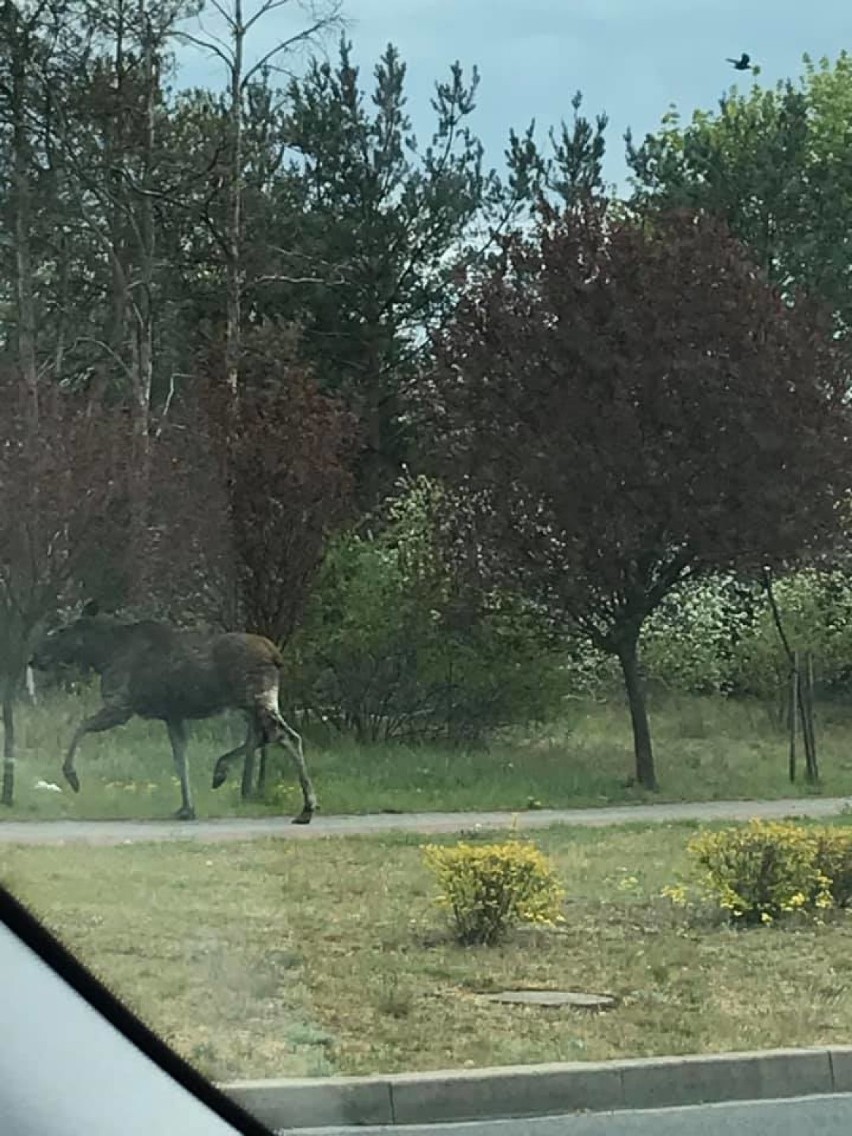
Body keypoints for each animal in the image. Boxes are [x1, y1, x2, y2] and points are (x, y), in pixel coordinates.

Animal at [30, 604, 318, 827]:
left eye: (61, 631)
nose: (34, 658)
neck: (102, 656)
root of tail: (275, 655)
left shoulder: (121, 707)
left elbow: (81, 726)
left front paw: (71, 776)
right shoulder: (173, 716)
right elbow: (181, 758)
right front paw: (186, 809)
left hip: (253, 698)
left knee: (286, 737)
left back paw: (306, 808)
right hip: (253, 704)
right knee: (266, 736)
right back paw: (222, 770)